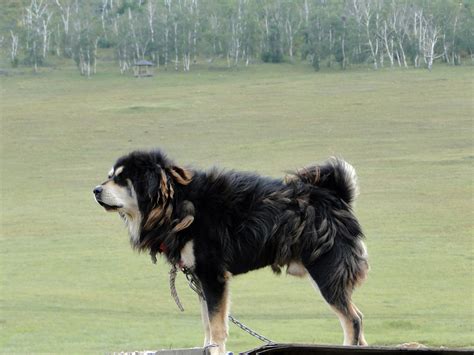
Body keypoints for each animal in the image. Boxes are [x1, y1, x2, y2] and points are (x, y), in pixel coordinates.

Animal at [91, 149, 366, 354]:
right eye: (110, 176)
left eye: (121, 179)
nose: (95, 190)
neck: (175, 203)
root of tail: (336, 196)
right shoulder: (199, 277)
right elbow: (207, 324)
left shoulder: (212, 275)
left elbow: (216, 326)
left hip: (326, 272)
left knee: (353, 320)